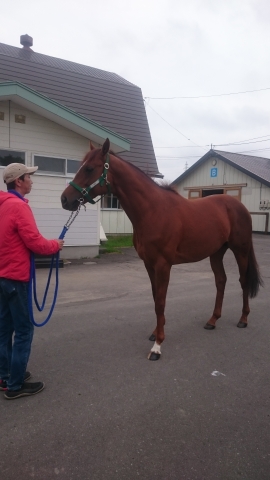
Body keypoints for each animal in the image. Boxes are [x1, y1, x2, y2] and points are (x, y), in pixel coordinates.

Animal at [60, 139, 262, 360]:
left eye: (89, 168)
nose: (64, 199)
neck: (153, 211)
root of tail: (239, 206)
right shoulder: (149, 265)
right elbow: (155, 297)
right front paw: (155, 333)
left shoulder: (163, 265)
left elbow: (161, 302)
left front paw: (157, 346)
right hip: (216, 253)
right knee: (221, 281)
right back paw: (212, 320)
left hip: (240, 250)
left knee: (243, 280)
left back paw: (243, 319)